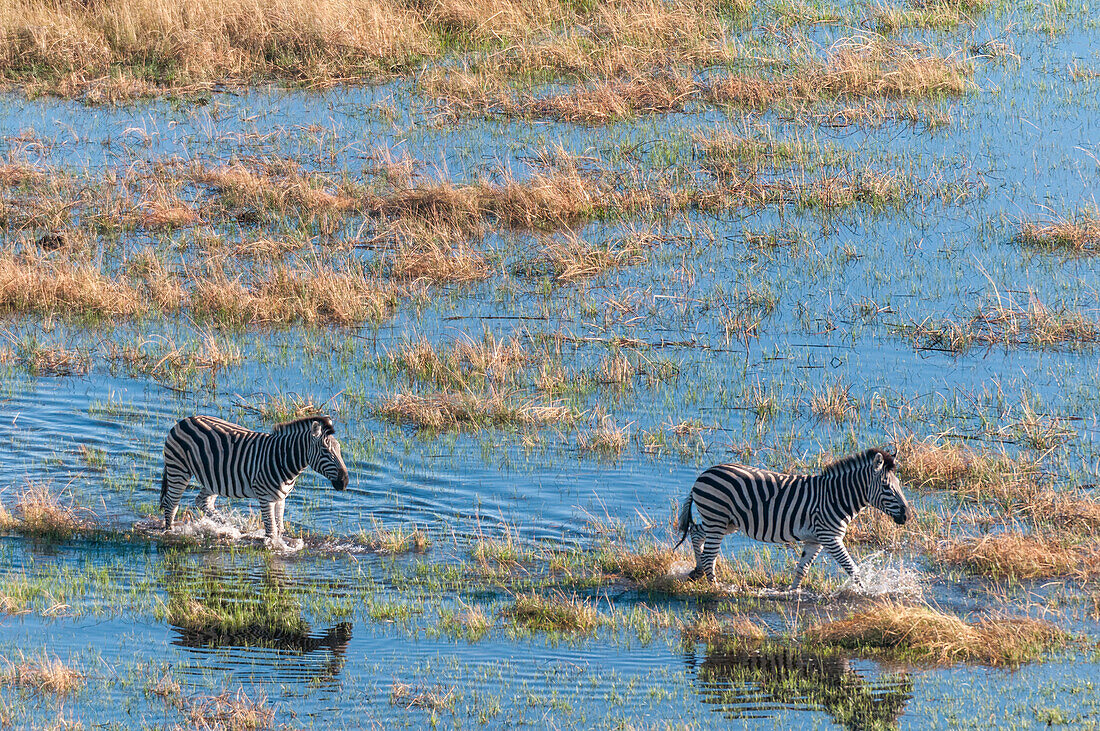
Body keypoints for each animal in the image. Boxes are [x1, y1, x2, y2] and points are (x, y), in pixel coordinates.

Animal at [158, 415, 347, 547]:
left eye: (339, 449)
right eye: (325, 451)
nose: (344, 482)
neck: (283, 459)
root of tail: (183, 420)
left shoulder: (281, 499)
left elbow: (279, 528)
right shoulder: (265, 498)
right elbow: (272, 531)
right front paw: (275, 548)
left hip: (213, 478)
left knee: (202, 501)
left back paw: (227, 528)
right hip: (179, 470)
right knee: (171, 503)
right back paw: (170, 532)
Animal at [668, 444, 910, 593]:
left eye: (899, 485)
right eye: (887, 487)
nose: (907, 516)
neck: (836, 497)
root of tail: (704, 474)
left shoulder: (815, 540)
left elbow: (802, 569)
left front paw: (793, 593)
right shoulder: (830, 537)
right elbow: (852, 568)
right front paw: (866, 592)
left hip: (725, 522)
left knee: (696, 533)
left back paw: (697, 571)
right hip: (717, 518)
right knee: (710, 554)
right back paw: (716, 587)